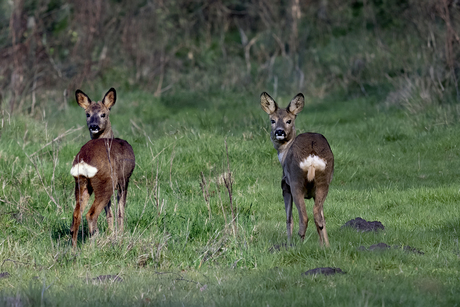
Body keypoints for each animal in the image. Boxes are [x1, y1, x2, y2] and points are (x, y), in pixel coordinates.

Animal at [69, 88, 135, 248]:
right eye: (87, 114)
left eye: (103, 114)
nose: (93, 126)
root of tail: (83, 159)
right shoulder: (124, 179)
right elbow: (120, 210)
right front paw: (120, 234)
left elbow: (109, 212)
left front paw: (111, 233)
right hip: (105, 182)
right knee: (91, 214)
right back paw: (93, 243)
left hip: (81, 183)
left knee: (76, 214)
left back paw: (74, 248)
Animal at [258, 92, 334, 248]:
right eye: (272, 120)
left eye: (289, 120)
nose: (279, 132)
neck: (284, 153)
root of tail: (312, 155)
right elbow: (322, 217)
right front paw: (325, 245)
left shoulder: (285, 186)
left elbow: (289, 219)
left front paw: (288, 243)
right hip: (324, 180)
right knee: (318, 216)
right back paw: (324, 247)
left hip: (296, 181)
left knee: (304, 217)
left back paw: (299, 245)